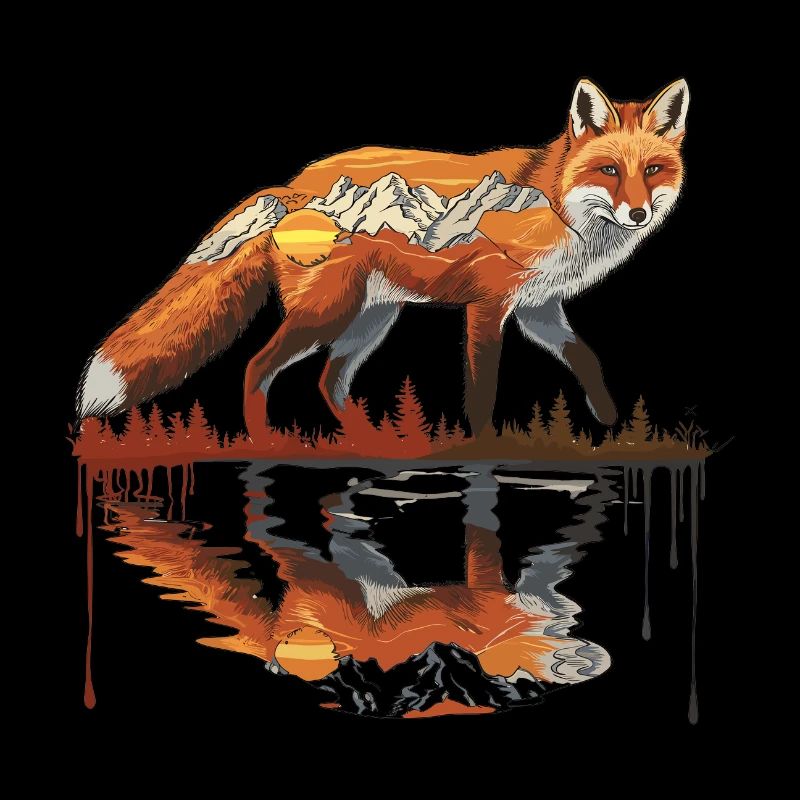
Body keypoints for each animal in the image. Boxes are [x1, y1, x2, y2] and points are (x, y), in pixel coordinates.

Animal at [77, 78, 689, 440]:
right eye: (608, 171)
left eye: (652, 170)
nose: (637, 213)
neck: (557, 208)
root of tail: (292, 186)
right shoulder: (489, 306)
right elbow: (482, 389)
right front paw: (484, 450)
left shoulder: (539, 308)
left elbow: (586, 359)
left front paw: (609, 421)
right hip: (327, 313)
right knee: (257, 368)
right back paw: (265, 442)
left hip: (370, 320)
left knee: (328, 381)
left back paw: (370, 443)